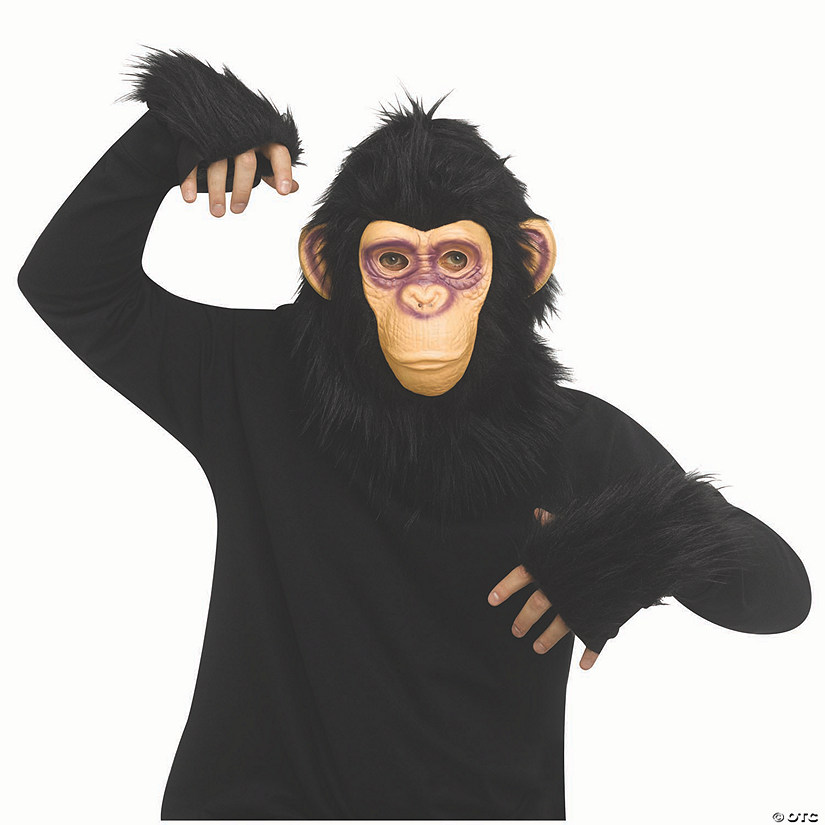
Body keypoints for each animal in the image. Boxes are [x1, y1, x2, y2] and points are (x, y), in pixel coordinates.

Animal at [17, 47, 811, 820]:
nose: (425, 299)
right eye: (393, 261)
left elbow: (760, 565)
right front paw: (227, 137)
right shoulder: (229, 360)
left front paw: (576, 576)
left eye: (456, 260)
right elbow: (86, 296)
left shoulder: (605, 431)